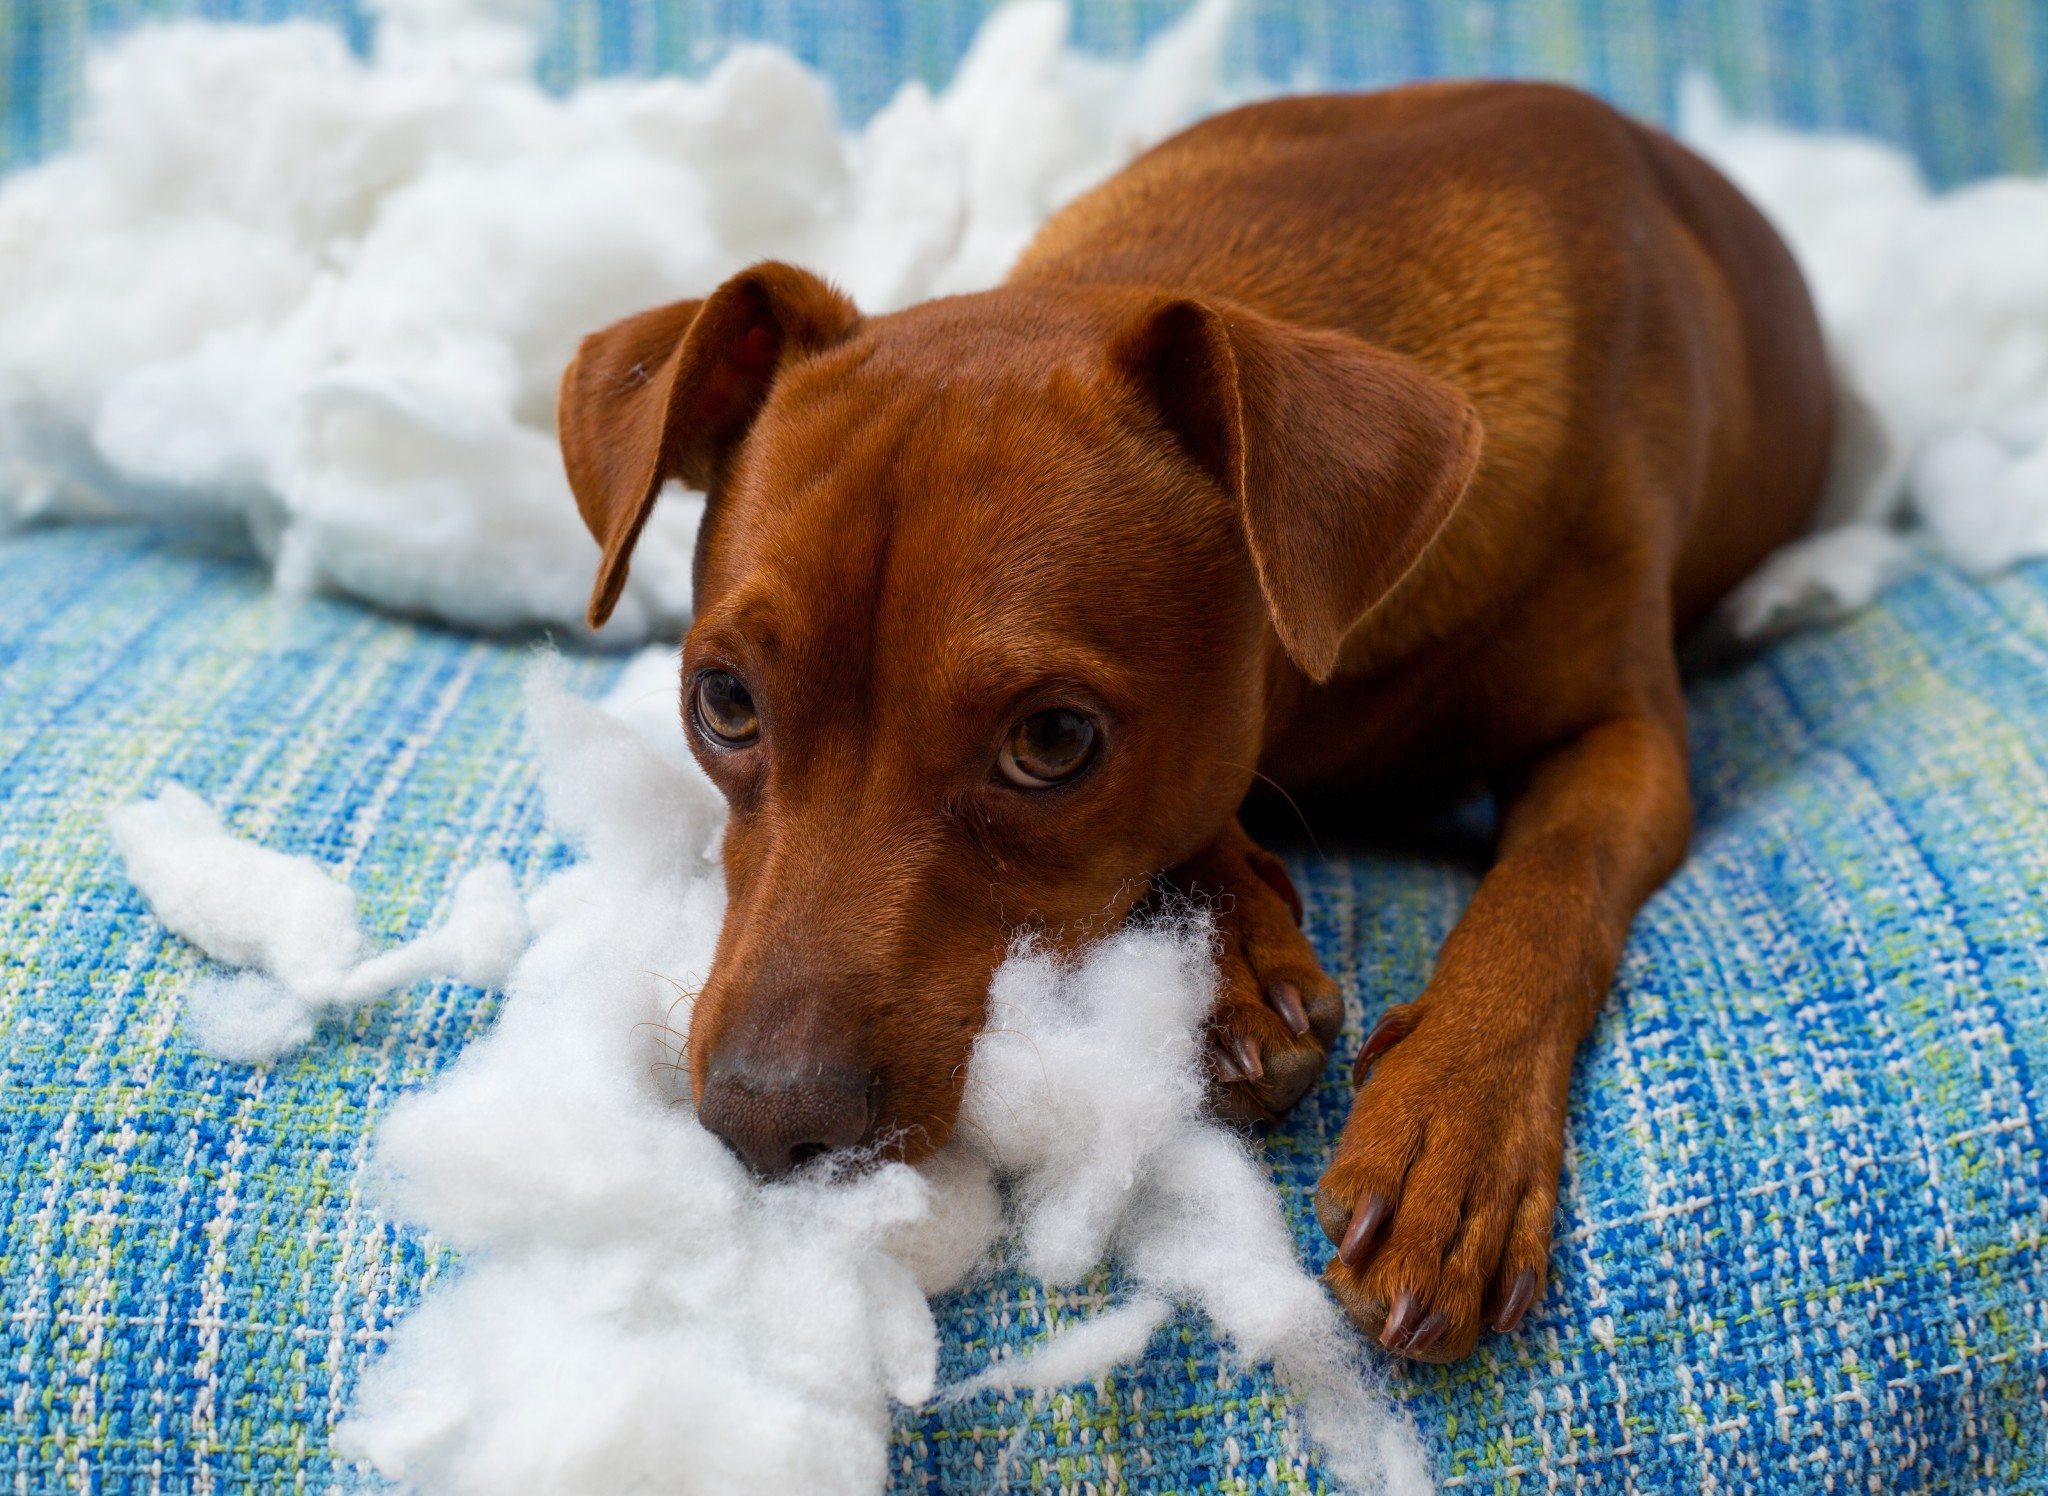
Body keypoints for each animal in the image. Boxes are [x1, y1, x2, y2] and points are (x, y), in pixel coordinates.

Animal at [552, 84, 1835, 1360]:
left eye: (1052, 742)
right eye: (723, 703)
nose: (767, 1120)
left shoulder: (1625, 744)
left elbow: (1545, 891)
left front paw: (1451, 1131)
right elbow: (1196, 818)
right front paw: (1229, 964)